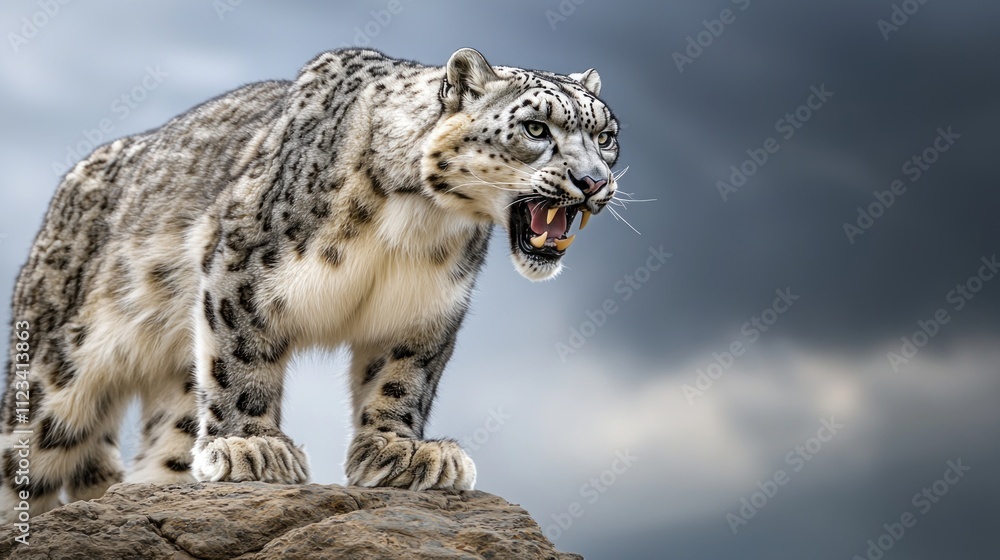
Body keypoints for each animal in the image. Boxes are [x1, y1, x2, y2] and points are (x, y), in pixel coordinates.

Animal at [0, 47, 621, 520]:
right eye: (536, 128)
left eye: (607, 136)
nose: (595, 182)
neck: (418, 222)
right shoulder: (243, 268)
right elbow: (241, 362)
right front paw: (252, 447)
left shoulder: (426, 310)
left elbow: (401, 380)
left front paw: (403, 453)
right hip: (59, 365)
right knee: (27, 447)